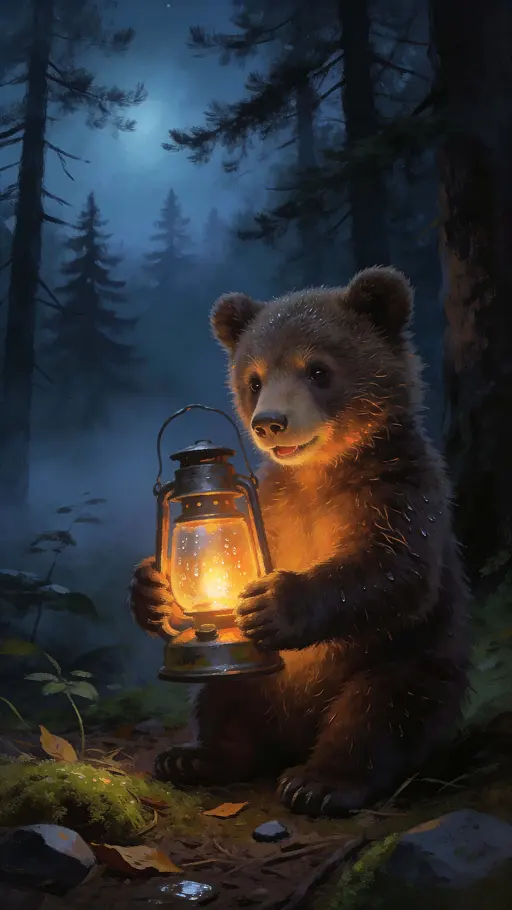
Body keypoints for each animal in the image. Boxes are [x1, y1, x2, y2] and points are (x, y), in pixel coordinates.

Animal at [129, 266, 470, 817]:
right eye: (254, 378)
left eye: (317, 370)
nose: (270, 422)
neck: (321, 471)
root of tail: (294, 732)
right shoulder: (274, 503)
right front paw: (151, 591)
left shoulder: (398, 490)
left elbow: (394, 569)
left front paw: (274, 601)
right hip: (256, 678)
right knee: (224, 699)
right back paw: (197, 757)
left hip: (406, 656)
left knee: (381, 709)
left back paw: (319, 781)